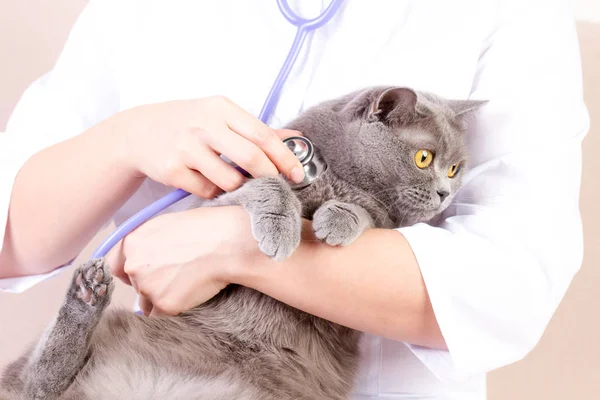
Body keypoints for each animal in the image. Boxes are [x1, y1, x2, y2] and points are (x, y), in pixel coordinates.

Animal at [0, 86, 486, 400]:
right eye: (423, 158)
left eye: (456, 168)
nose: (446, 193)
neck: (339, 176)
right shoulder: (211, 201)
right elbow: (268, 184)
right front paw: (280, 228)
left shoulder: (383, 223)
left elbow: (367, 215)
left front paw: (337, 221)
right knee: (35, 383)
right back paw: (86, 295)